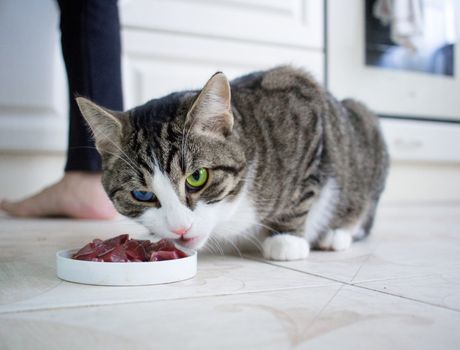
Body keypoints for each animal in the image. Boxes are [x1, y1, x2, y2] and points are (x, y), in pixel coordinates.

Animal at [76, 67, 388, 262]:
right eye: (141, 194)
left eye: (197, 177)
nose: (180, 229)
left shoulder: (306, 108)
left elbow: (300, 194)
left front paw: (286, 239)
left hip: (364, 127)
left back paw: (337, 233)